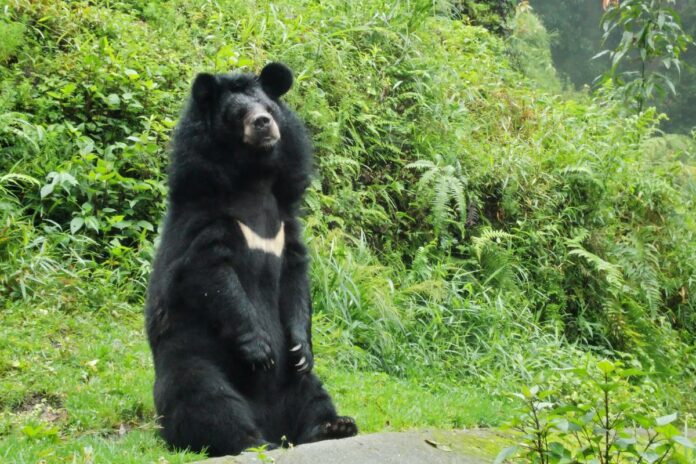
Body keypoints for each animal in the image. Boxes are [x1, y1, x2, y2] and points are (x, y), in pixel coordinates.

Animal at [144, 62, 357, 456]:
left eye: (269, 108)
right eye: (237, 113)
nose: (263, 123)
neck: (254, 180)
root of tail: (273, 424)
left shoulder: (286, 225)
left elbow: (295, 279)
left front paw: (300, 347)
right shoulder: (205, 220)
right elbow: (211, 275)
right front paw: (260, 350)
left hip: (297, 385)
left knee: (312, 392)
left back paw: (333, 426)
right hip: (194, 359)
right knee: (206, 399)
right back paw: (251, 441)